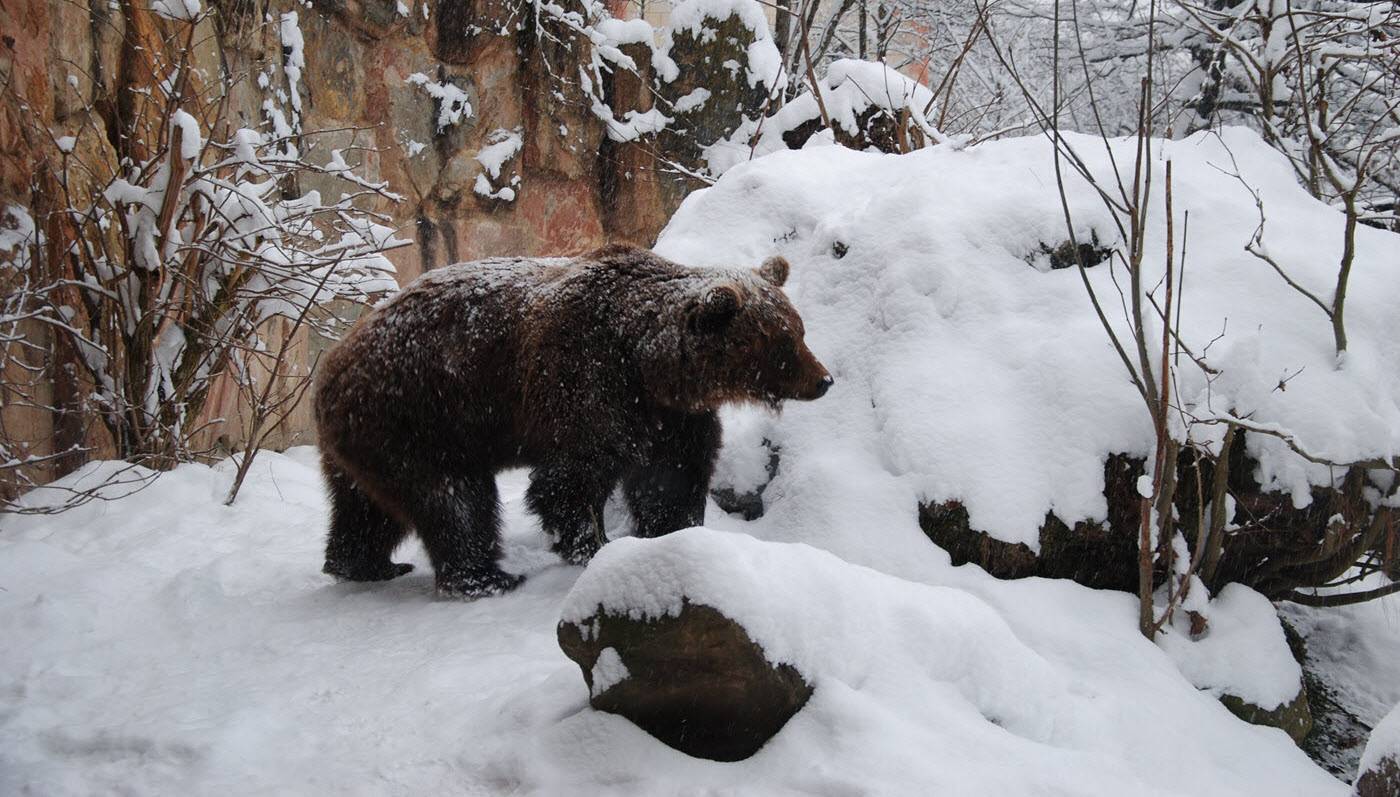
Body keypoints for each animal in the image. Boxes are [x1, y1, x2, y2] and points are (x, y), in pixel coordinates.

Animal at [312, 242, 828, 596]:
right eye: (783, 343)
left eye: (799, 329)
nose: (823, 380)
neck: (645, 362)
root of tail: (331, 366)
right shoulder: (584, 380)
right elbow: (570, 478)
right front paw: (593, 545)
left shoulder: (669, 415)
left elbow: (671, 476)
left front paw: (671, 531)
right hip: (418, 416)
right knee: (454, 499)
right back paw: (486, 577)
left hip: (367, 440)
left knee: (366, 508)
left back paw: (365, 565)